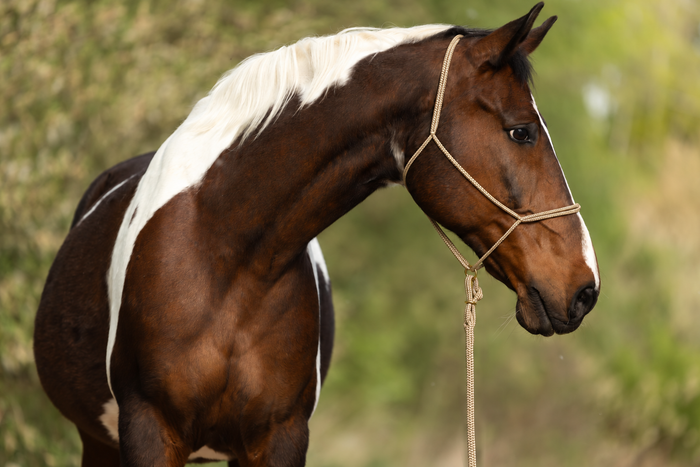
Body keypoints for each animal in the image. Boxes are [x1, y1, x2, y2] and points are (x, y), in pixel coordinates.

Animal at [34, 3, 600, 466]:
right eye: (521, 131)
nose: (585, 288)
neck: (224, 258)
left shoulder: (280, 438)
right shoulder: (148, 431)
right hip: (98, 443)